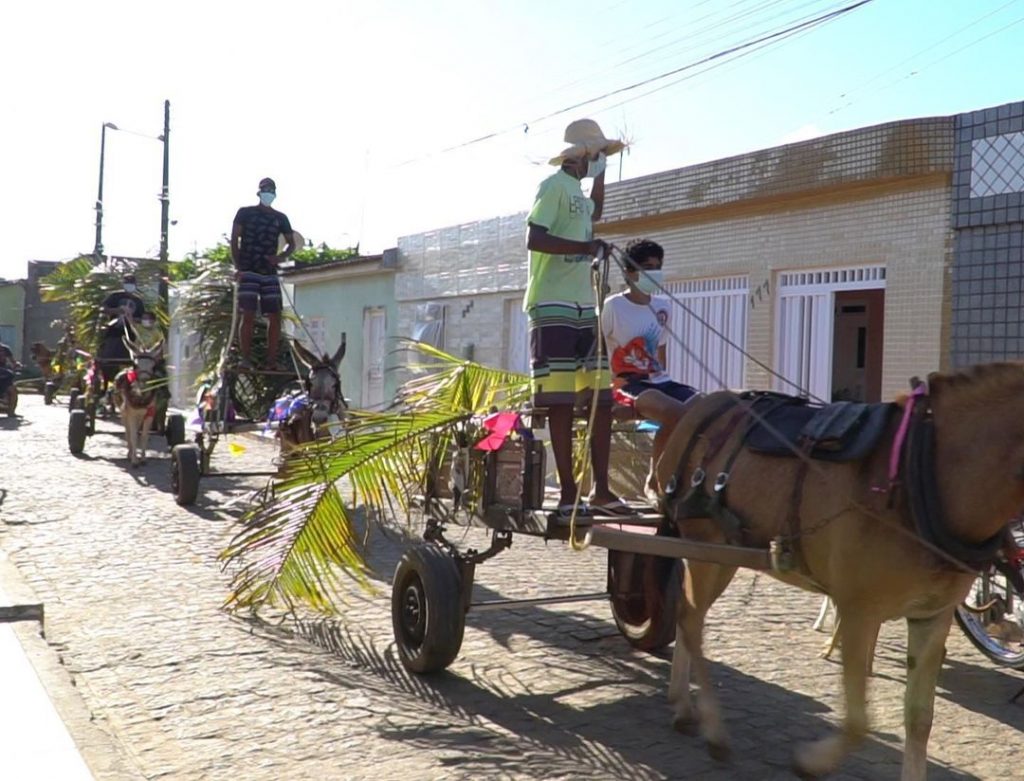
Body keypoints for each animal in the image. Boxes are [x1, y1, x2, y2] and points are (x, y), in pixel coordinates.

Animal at [112, 337, 163, 467]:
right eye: (135, 365)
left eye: (154, 367)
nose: (144, 388)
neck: (141, 399)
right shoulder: (131, 413)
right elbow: (133, 435)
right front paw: (134, 461)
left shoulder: (150, 414)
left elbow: (144, 436)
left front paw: (143, 459)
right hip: (124, 413)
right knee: (127, 431)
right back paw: (130, 453)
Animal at [655, 363, 1024, 781]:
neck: (922, 472)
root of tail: (696, 407)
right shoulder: (858, 610)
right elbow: (858, 722)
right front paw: (812, 761)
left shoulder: (932, 615)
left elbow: (919, 718)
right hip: (709, 550)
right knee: (692, 621)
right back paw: (713, 729)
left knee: (686, 616)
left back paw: (682, 703)